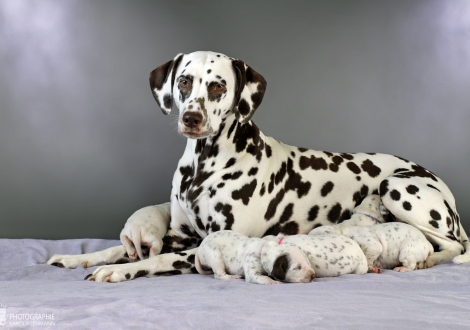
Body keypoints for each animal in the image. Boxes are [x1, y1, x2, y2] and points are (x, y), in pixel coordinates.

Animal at [46, 50, 470, 282]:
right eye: (184, 82)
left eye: (218, 86)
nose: (192, 119)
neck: (203, 166)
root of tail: (440, 184)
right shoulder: (180, 235)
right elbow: (117, 249)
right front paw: (81, 258)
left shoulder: (202, 245)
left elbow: (157, 259)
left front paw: (121, 271)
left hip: (397, 188)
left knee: (453, 245)